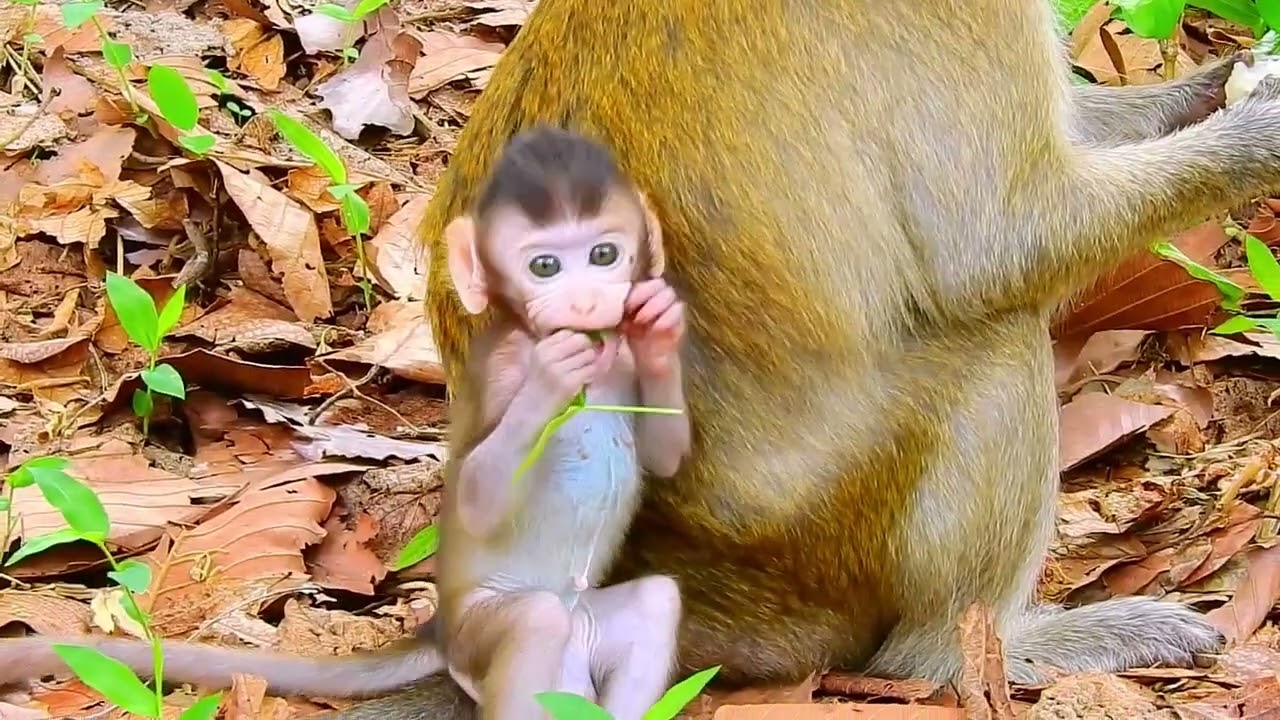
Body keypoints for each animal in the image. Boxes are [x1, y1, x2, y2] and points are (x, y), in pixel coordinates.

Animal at [433, 124, 691, 720]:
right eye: (545, 267)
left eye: (603, 254)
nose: (587, 300)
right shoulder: (502, 366)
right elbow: (476, 498)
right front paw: (551, 379)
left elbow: (662, 455)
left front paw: (659, 333)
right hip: (475, 638)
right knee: (535, 620)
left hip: (589, 630)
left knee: (655, 601)